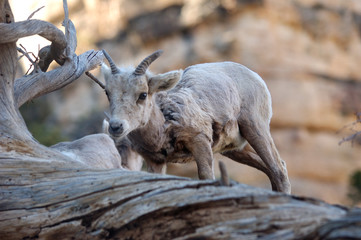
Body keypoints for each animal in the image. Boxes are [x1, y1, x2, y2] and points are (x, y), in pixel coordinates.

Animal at [95, 49, 290, 194]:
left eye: (143, 94)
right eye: (107, 93)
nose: (116, 127)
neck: (163, 126)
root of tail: (256, 77)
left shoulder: (200, 141)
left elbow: (206, 177)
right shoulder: (155, 161)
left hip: (255, 128)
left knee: (278, 170)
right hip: (236, 148)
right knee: (272, 169)